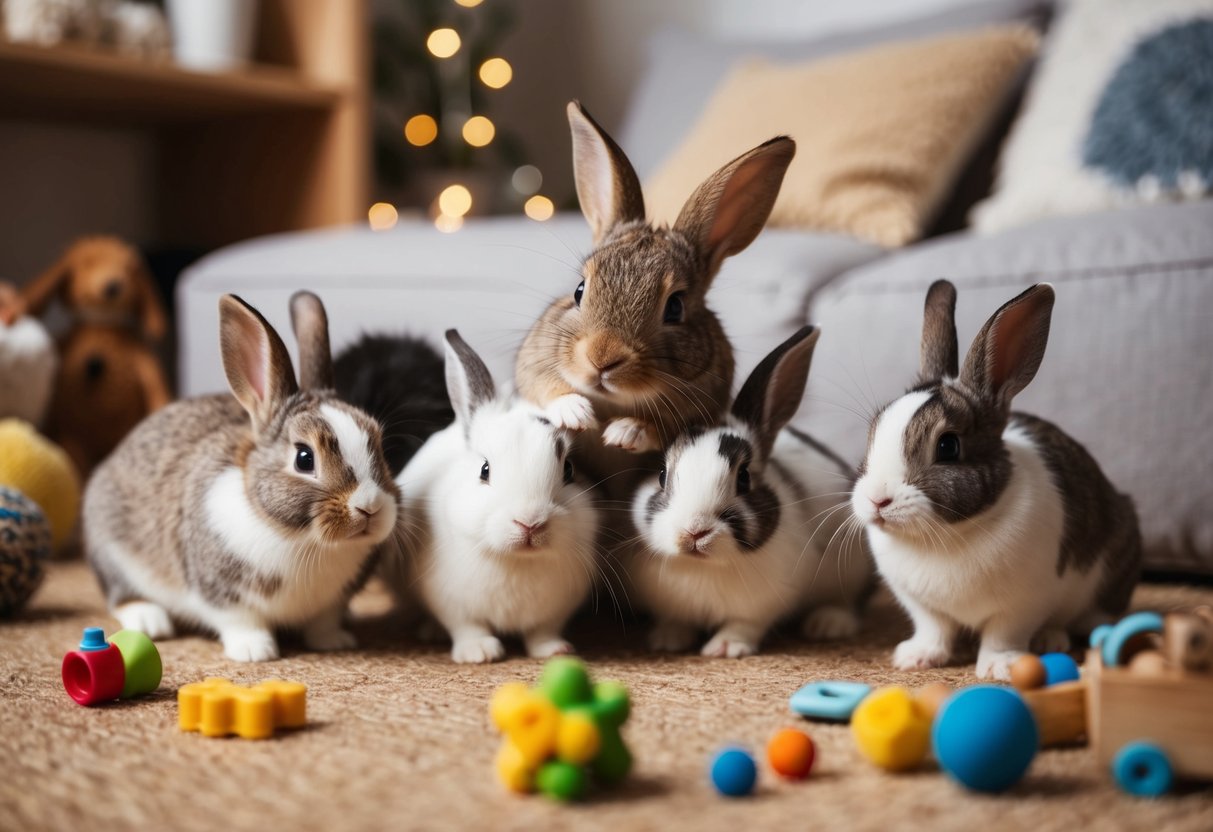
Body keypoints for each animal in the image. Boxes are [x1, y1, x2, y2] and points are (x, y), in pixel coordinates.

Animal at [85, 293, 397, 664]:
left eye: (378, 444)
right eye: (304, 458)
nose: (370, 507)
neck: (303, 539)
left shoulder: (332, 602)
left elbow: (324, 621)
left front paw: (335, 641)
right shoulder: (223, 593)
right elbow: (240, 621)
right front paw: (255, 651)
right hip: (112, 553)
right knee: (120, 595)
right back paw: (151, 621)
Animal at [383, 329, 601, 664]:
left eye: (569, 469)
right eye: (484, 470)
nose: (530, 523)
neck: (517, 561)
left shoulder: (557, 610)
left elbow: (543, 631)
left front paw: (553, 651)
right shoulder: (451, 602)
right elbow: (468, 627)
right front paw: (479, 652)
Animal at [514, 103, 790, 494]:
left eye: (675, 307)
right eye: (579, 291)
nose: (602, 356)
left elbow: (661, 429)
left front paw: (624, 432)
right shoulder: (535, 360)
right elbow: (542, 387)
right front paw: (576, 412)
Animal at [625, 325, 873, 659]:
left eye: (743, 478)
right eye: (662, 475)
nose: (695, 531)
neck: (703, 568)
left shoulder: (762, 606)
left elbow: (743, 625)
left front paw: (726, 647)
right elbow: (675, 621)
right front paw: (667, 640)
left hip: (855, 568)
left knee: (850, 602)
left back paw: (828, 624)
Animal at [849, 283, 1140, 679]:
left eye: (948, 446)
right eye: (872, 433)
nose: (877, 499)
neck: (948, 536)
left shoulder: (1024, 602)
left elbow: (1003, 634)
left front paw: (999, 668)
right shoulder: (921, 605)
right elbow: (933, 629)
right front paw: (915, 658)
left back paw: (1050, 639)